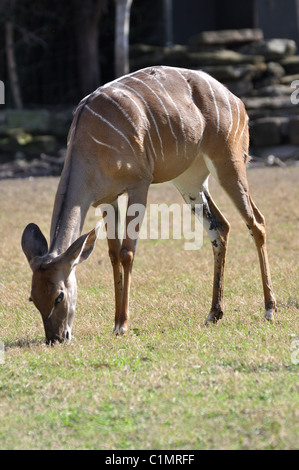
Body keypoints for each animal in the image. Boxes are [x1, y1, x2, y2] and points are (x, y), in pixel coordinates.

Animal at [22, 66, 278, 344]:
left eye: (59, 295)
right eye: (32, 298)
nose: (56, 338)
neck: (90, 140)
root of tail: (236, 100)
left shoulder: (139, 185)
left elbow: (127, 252)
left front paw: (122, 324)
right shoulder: (107, 200)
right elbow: (113, 254)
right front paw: (115, 321)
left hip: (229, 163)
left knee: (257, 222)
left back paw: (269, 309)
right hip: (189, 181)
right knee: (221, 227)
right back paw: (213, 313)